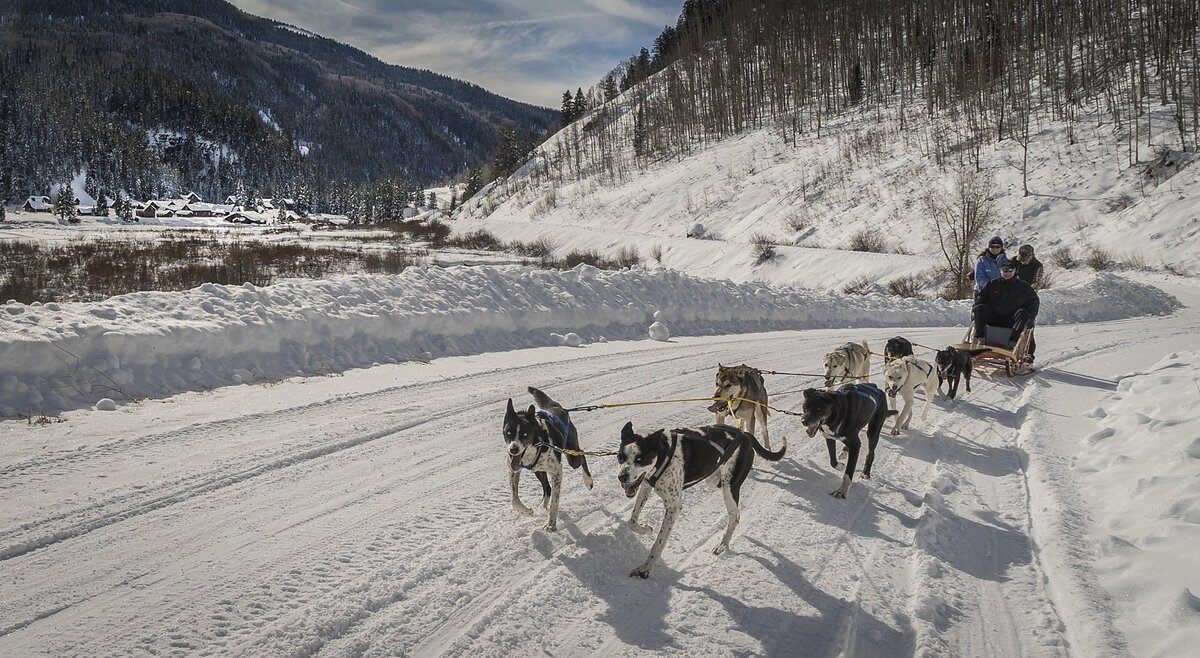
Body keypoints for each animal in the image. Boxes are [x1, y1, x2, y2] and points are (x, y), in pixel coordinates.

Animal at [499, 389, 592, 533]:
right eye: (508, 433)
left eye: (525, 434)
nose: (513, 449)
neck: (538, 442)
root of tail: (556, 406)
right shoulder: (514, 469)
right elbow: (514, 500)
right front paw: (527, 511)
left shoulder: (557, 471)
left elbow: (555, 501)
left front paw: (551, 524)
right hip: (538, 470)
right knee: (547, 488)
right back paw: (542, 505)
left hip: (572, 457)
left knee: (581, 455)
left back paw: (588, 480)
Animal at [619, 425, 787, 578]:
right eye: (621, 457)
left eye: (639, 459)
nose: (622, 477)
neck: (663, 452)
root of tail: (745, 434)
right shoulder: (645, 486)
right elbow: (631, 521)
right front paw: (646, 529)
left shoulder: (674, 507)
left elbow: (658, 543)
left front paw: (645, 568)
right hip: (714, 480)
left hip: (729, 487)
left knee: (735, 515)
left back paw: (723, 544)